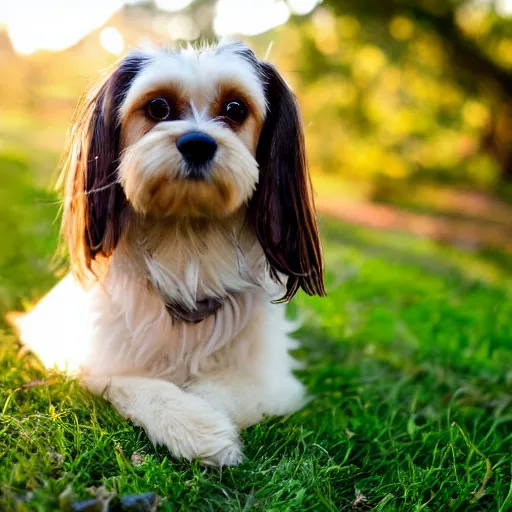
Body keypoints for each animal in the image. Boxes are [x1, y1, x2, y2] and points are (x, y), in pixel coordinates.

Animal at [14, 42, 326, 466]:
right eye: (158, 107)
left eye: (235, 109)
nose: (198, 143)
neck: (186, 244)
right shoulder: (87, 359)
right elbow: (128, 383)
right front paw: (191, 424)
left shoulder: (272, 380)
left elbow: (223, 390)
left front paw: (204, 416)